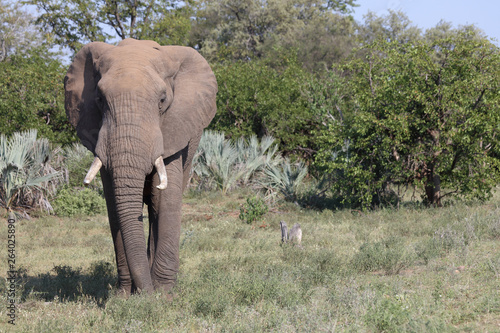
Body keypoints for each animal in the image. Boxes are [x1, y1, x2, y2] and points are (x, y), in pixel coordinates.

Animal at [64, 38, 217, 296]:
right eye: (100, 100)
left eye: (162, 101)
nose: (147, 295)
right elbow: (115, 206)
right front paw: (125, 296)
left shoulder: (175, 128)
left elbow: (165, 202)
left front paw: (163, 295)